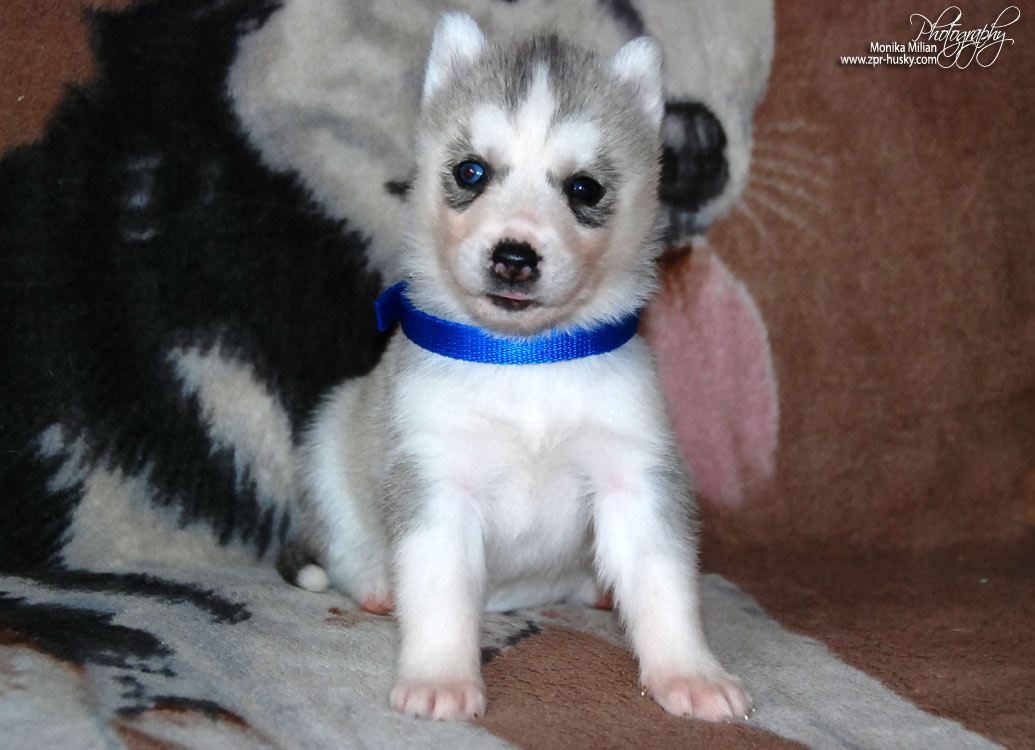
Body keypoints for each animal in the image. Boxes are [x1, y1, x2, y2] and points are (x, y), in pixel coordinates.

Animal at [281, 12, 750, 723]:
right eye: (472, 171)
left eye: (584, 187)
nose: (514, 257)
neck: (525, 356)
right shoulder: (438, 480)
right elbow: (439, 589)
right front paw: (441, 676)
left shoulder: (634, 473)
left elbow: (664, 580)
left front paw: (688, 671)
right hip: (331, 443)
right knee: (343, 549)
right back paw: (375, 583)